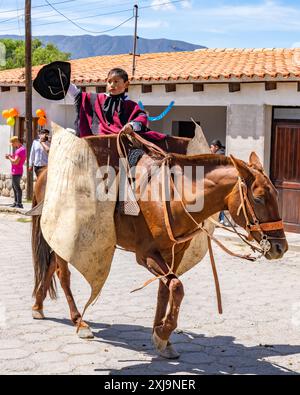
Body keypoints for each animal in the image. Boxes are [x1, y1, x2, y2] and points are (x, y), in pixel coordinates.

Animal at [31, 138, 288, 358]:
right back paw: (79, 321)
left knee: (50, 266)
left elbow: (165, 289)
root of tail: (44, 172)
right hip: (65, 235)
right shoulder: (146, 255)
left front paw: (160, 335)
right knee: (62, 273)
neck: (173, 197)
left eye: (276, 194)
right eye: (257, 198)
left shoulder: (175, 252)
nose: (280, 247)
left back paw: (38, 305)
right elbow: (177, 287)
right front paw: (163, 333)